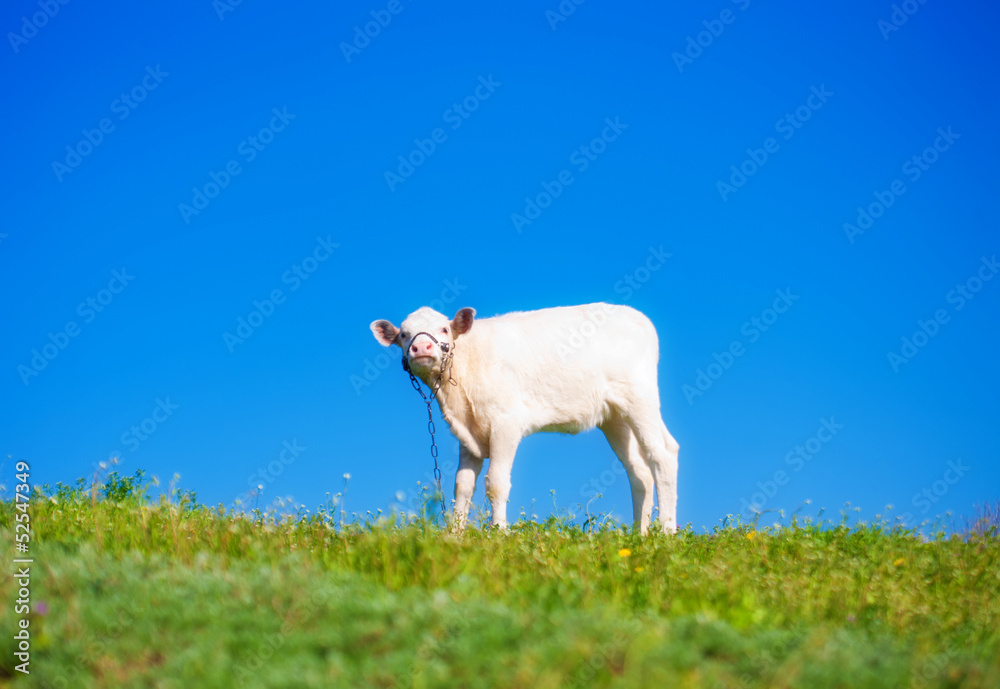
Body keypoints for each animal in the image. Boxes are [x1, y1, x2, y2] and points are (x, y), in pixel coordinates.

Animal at [369, 303, 679, 534]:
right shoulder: (468, 435)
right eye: (403, 334)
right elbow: (462, 486)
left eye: (444, 328)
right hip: (615, 417)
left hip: (639, 397)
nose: (421, 348)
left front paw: (499, 533)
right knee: (639, 471)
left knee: (663, 453)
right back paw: (639, 535)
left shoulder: (506, 422)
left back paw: (666, 533)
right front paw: (455, 536)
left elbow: (496, 482)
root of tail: (635, 315)